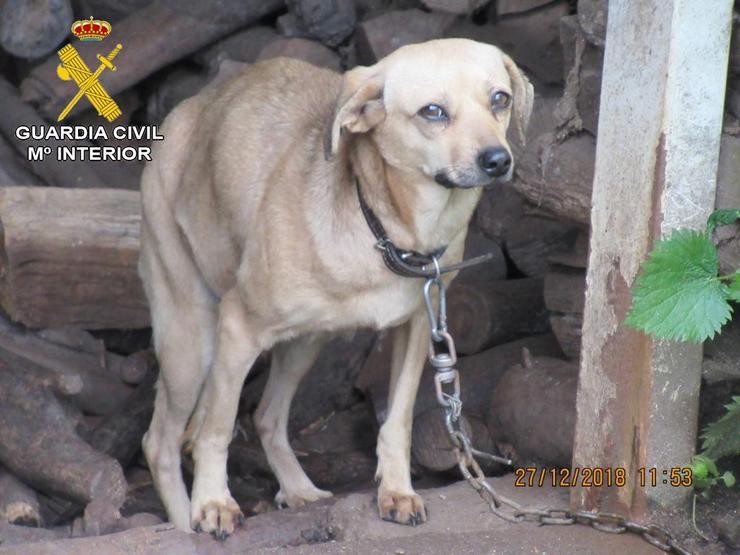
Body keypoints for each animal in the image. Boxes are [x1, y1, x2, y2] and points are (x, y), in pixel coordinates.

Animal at [137, 38, 532, 540]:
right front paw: (212, 504)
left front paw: (396, 492)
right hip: (193, 343)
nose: (498, 160)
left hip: (305, 343)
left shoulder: (417, 328)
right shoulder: (239, 326)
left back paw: (298, 489)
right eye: (433, 111)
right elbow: (217, 430)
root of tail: (193, 106)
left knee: (266, 417)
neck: (386, 228)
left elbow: (397, 421)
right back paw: (185, 522)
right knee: (162, 441)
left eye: (500, 99)